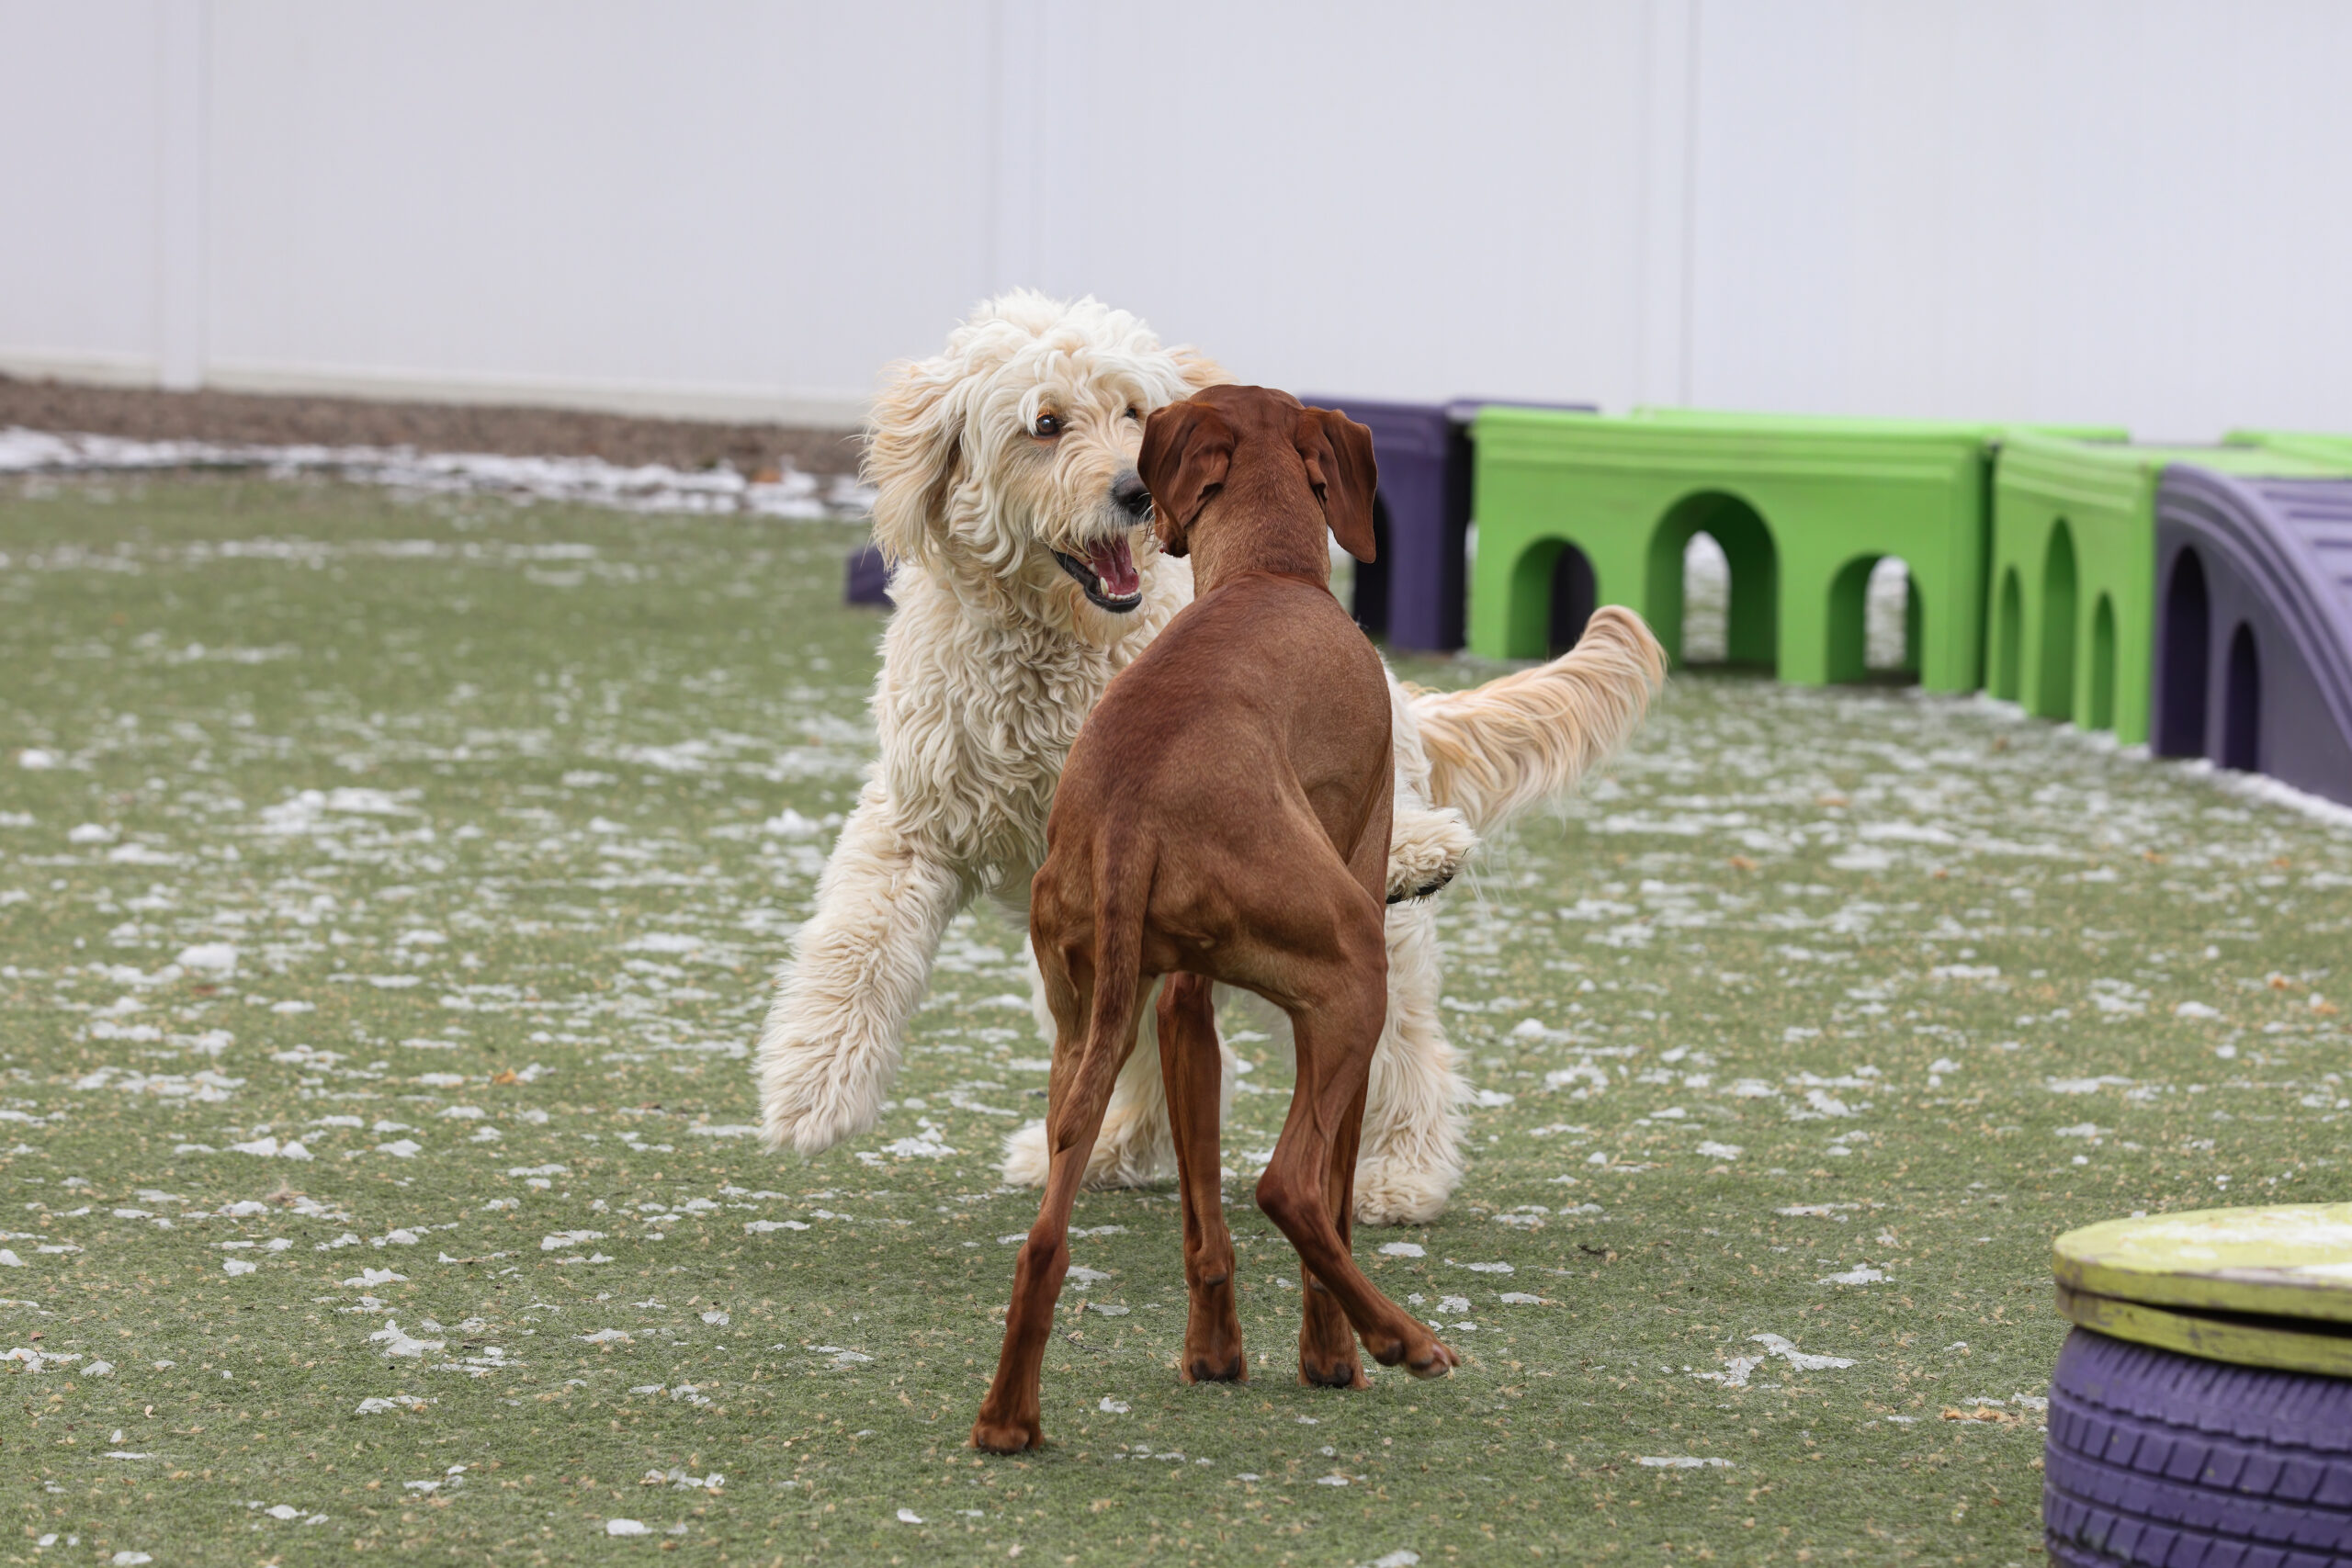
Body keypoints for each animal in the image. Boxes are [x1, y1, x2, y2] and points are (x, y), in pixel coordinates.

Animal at [762, 293, 1665, 1222]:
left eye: (1135, 411)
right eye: (1045, 424)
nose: (1132, 494)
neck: (1060, 652)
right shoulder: (918, 822)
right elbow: (855, 941)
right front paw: (811, 1088)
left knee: (1404, 1046)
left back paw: (1401, 1165)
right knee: (1142, 1054)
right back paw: (1113, 1145)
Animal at [968, 389, 1448, 1457]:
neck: (1272, 573)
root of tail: (1131, 813)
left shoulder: (1179, 1005)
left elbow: (1202, 1225)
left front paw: (1215, 1357)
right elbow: (1325, 1200)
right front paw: (1330, 1360)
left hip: (1084, 1032)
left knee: (1046, 1238)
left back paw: (1009, 1418)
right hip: (1352, 974)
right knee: (1288, 1186)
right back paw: (1404, 1339)